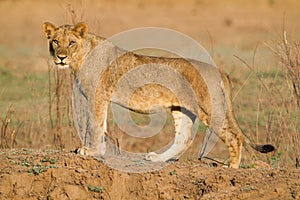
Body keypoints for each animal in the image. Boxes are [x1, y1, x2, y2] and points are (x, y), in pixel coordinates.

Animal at [41, 22, 274, 169]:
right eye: (55, 41)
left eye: (71, 42)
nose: (61, 57)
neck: (80, 58)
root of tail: (219, 71)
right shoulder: (101, 98)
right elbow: (102, 126)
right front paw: (101, 151)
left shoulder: (97, 96)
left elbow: (94, 126)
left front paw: (90, 151)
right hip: (182, 110)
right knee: (183, 138)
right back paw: (156, 159)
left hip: (210, 108)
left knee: (234, 137)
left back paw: (232, 168)